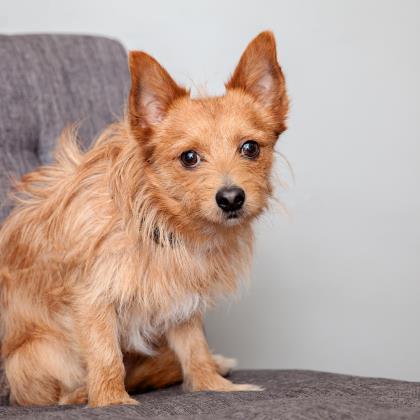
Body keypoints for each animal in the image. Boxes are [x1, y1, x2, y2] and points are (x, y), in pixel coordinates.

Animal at [0, 31, 288, 406]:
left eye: (251, 148)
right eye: (189, 157)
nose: (231, 198)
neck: (159, 219)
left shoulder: (181, 300)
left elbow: (195, 348)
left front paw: (213, 385)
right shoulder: (92, 298)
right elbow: (106, 355)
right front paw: (111, 401)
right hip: (34, 355)